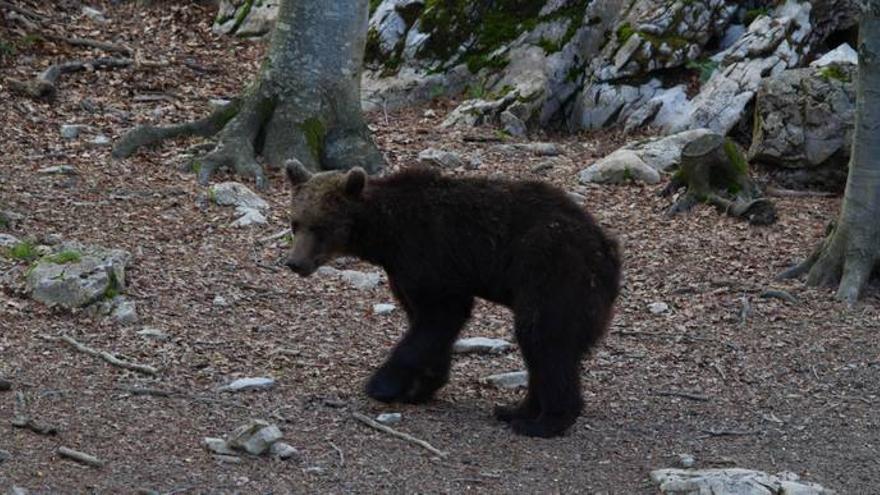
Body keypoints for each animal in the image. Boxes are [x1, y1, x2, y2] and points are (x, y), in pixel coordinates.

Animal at [283, 159, 621, 438]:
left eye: (320, 226)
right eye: (295, 222)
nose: (295, 263)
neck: (386, 236)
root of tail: (607, 250)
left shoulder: (429, 253)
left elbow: (441, 314)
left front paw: (382, 384)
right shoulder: (405, 272)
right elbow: (426, 322)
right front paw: (421, 386)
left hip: (551, 272)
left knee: (543, 339)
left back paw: (544, 421)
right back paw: (515, 410)